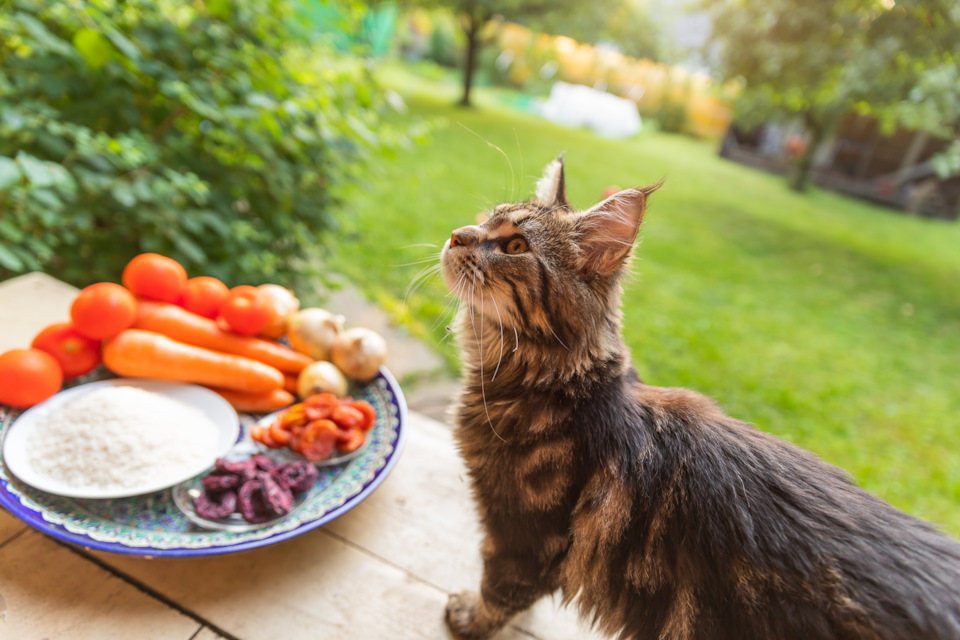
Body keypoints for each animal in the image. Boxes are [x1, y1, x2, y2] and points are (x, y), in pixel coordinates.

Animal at [438, 155, 960, 640]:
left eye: (515, 246)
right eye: (487, 218)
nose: (456, 234)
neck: (546, 382)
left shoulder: (526, 540)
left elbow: (500, 593)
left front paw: (470, 619)